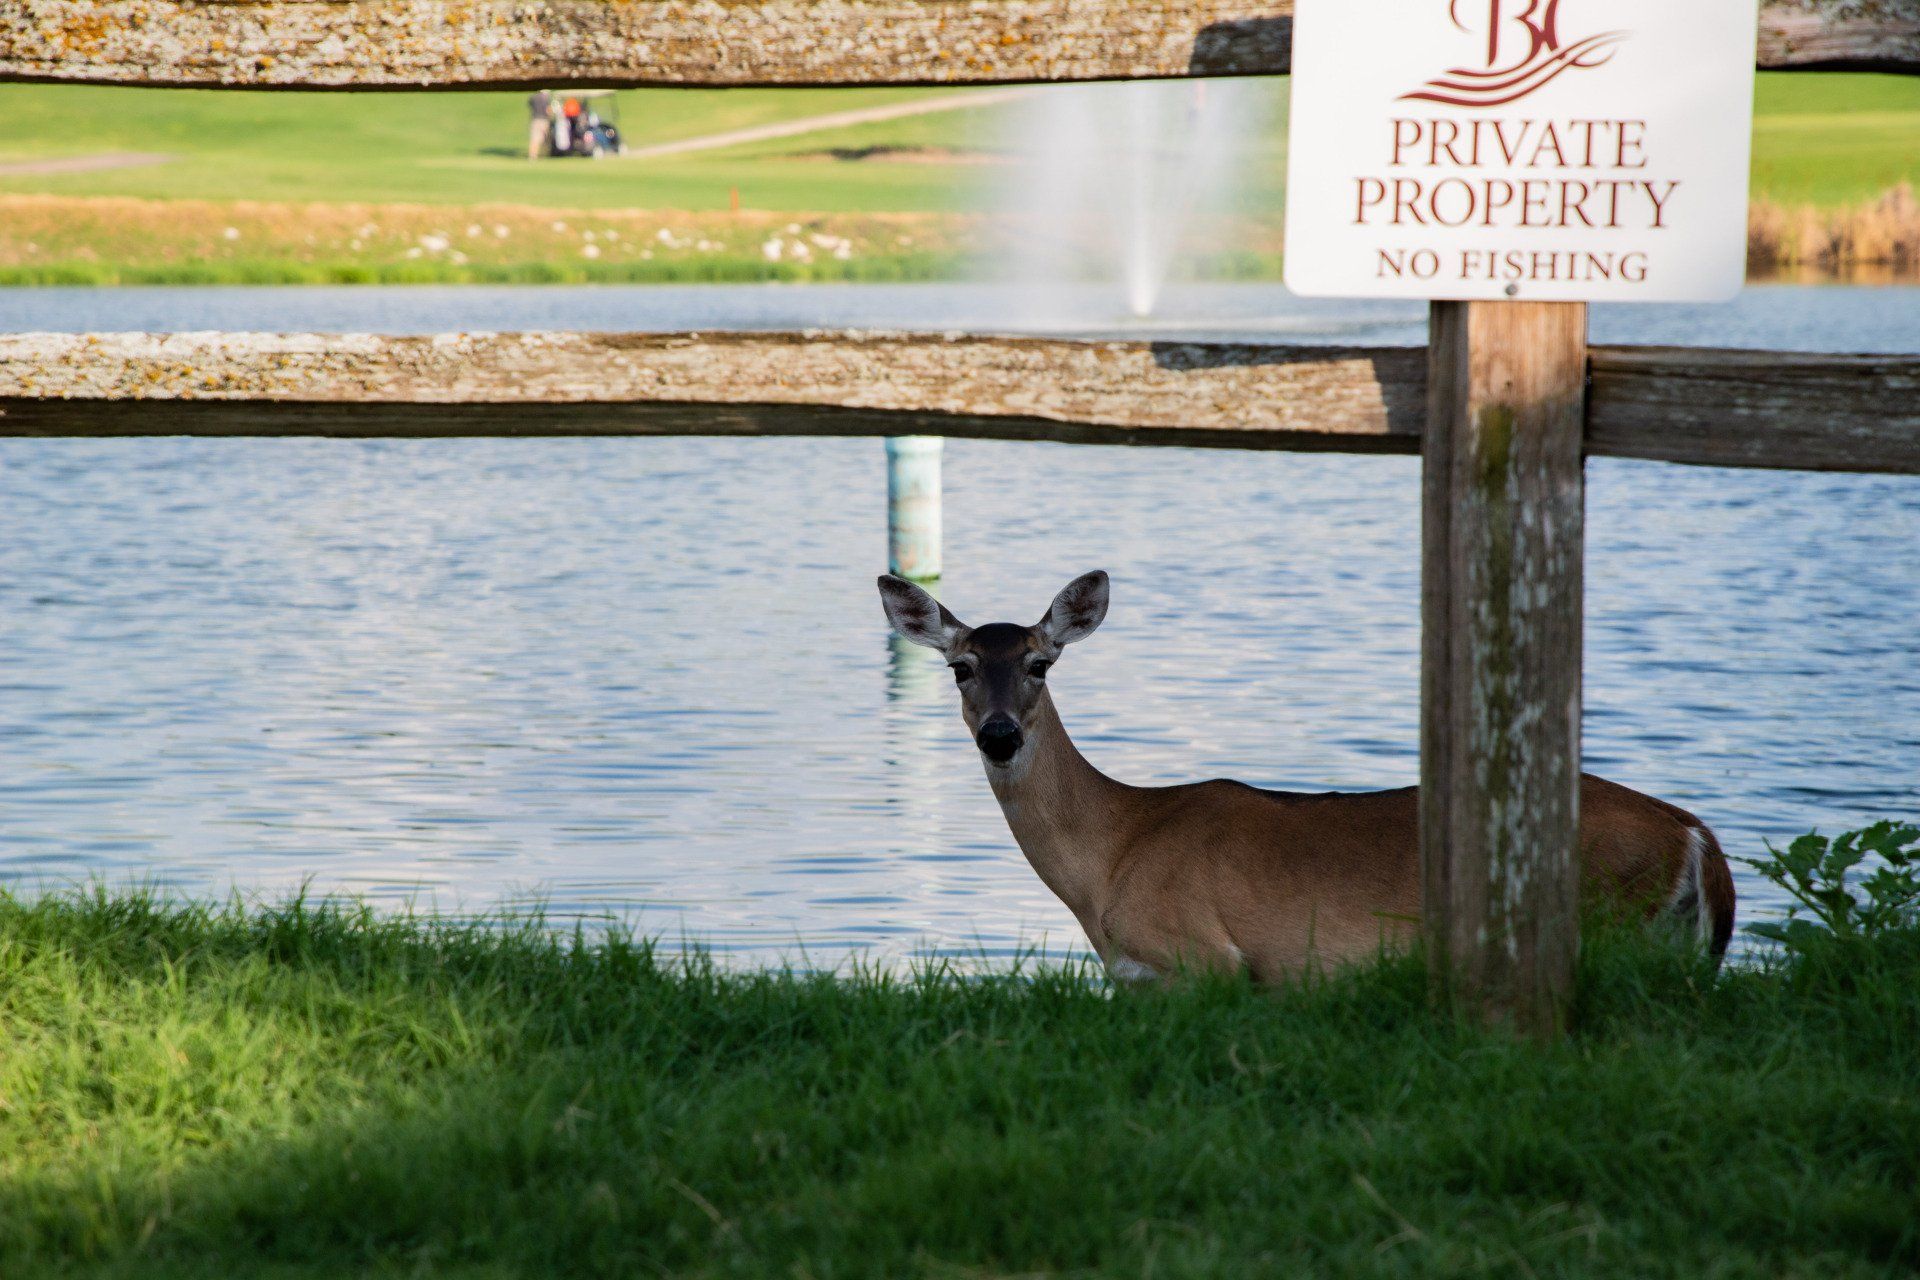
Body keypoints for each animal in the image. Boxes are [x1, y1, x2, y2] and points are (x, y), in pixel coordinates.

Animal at [877, 570, 1736, 986]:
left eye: (1039, 664)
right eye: (959, 667)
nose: (1000, 734)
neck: (1112, 858)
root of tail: (1696, 833)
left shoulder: (1206, 960)